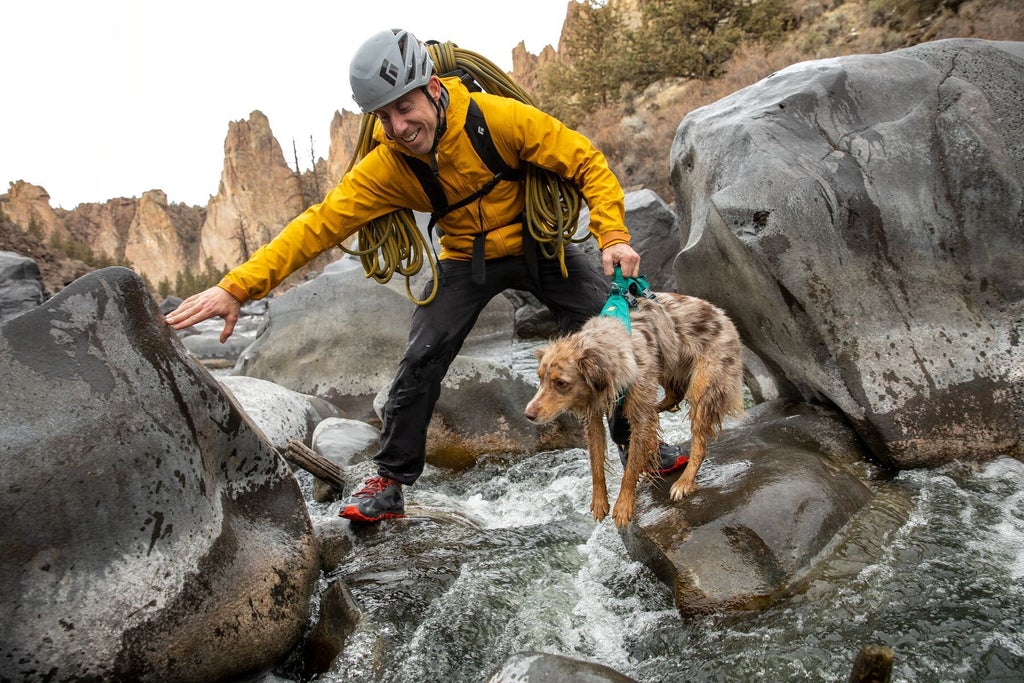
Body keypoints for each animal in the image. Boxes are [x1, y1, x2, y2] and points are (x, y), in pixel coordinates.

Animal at [524, 290, 741, 528]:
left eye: (560, 383)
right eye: (540, 378)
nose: (528, 415)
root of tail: (722, 315)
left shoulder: (639, 412)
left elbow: (631, 468)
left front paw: (623, 505)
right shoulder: (593, 418)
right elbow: (596, 464)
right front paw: (599, 501)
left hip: (702, 387)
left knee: (699, 444)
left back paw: (684, 482)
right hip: (667, 369)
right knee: (672, 396)